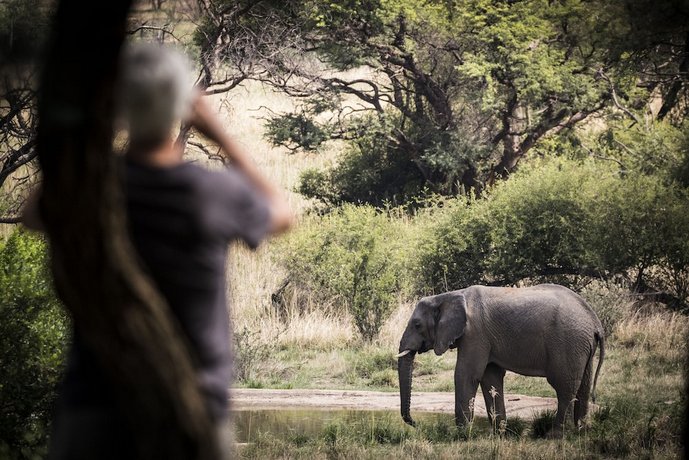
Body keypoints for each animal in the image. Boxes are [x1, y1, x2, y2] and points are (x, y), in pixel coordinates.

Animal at [398, 284, 600, 434]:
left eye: (417, 325)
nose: (416, 424)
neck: (449, 296)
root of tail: (594, 321)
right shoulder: (484, 339)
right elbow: (490, 378)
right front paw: (500, 433)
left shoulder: (475, 334)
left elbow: (466, 375)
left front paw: (462, 434)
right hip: (582, 346)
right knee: (583, 385)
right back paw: (581, 431)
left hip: (569, 343)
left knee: (564, 386)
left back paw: (556, 435)